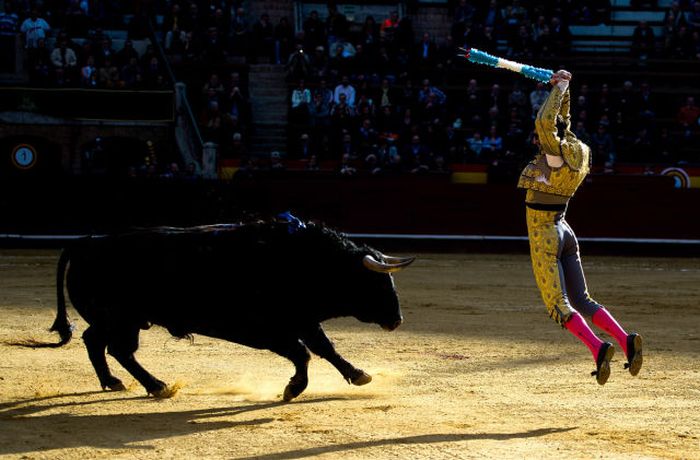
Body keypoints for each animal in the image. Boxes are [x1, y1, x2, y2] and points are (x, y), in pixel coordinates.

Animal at [42, 221, 416, 400]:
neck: (304, 261)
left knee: (96, 342)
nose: (397, 320)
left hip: (122, 319)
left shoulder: (303, 320)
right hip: (121, 318)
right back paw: (157, 386)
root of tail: (88, 242)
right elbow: (303, 354)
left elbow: (325, 348)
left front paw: (359, 375)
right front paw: (293, 389)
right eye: (376, 284)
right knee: (115, 348)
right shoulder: (269, 329)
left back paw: (114, 382)